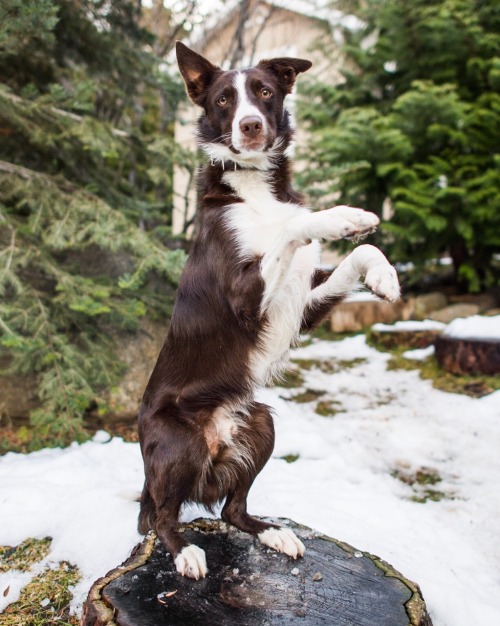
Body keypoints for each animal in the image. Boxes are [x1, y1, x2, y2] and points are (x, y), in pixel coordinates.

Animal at [138, 42, 402, 580]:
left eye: (264, 91)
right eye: (223, 99)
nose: (250, 126)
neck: (255, 188)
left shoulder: (302, 303)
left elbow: (357, 253)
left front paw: (384, 275)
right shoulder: (246, 296)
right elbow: (295, 228)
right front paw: (341, 216)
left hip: (260, 422)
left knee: (233, 510)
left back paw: (273, 533)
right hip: (177, 443)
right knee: (162, 516)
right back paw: (186, 552)